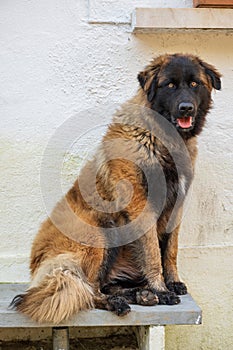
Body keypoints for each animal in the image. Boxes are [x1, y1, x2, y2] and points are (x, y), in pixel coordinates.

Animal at [10, 53, 221, 324]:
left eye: (195, 84)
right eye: (170, 85)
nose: (186, 108)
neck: (161, 138)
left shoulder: (177, 206)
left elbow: (171, 249)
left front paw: (172, 282)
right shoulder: (141, 207)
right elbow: (153, 251)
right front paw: (161, 289)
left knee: (103, 284)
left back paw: (140, 294)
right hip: (98, 234)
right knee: (88, 289)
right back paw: (121, 301)